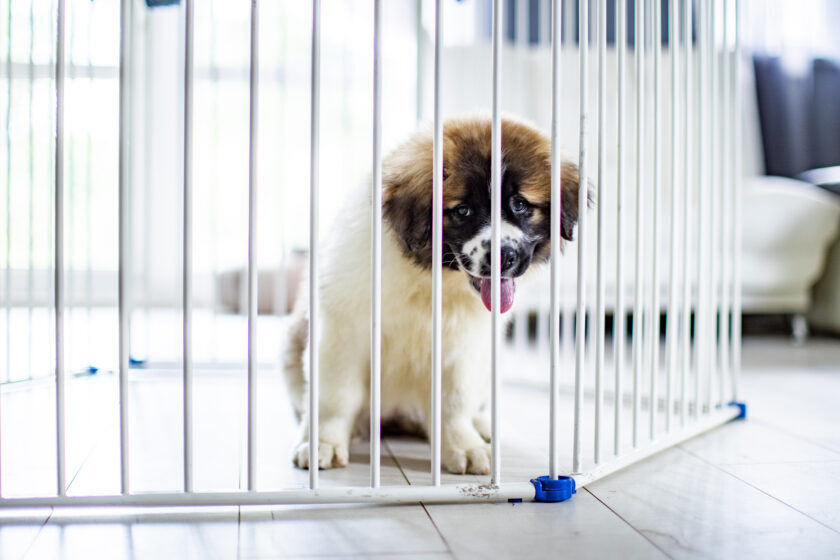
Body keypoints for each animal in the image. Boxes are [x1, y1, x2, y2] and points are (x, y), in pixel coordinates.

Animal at [280, 116, 576, 474]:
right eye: (462, 211)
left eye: (520, 205)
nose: (503, 256)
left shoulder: (465, 347)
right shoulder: (343, 331)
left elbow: (454, 400)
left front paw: (463, 445)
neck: (433, 280)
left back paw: (480, 426)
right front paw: (322, 442)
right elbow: (337, 395)